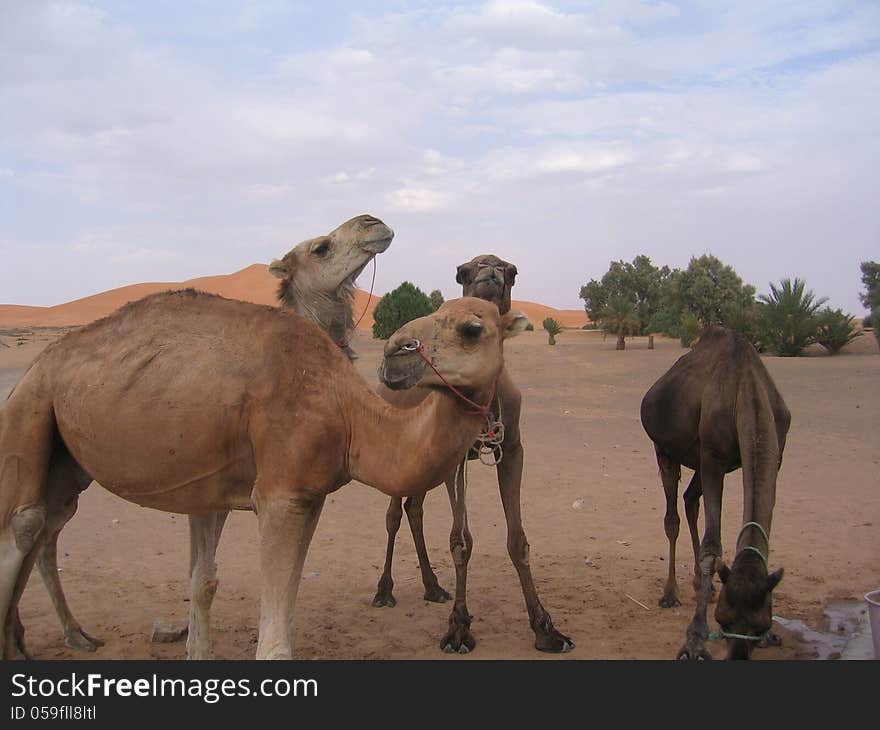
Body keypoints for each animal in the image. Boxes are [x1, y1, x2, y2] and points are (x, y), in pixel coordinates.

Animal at [0, 292, 528, 660]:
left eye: (471, 328)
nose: (396, 352)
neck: (349, 413)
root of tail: (39, 361)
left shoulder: (305, 494)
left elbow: (205, 582)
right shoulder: (281, 494)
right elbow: (273, 644)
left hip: (66, 461)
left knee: (48, 524)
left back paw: (58, 639)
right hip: (31, 404)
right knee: (25, 524)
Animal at [370, 253, 572, 652]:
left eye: (510, 270)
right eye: (463, 272)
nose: (396, 350)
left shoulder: (512, 449)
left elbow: (518, 540)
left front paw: (546, 628)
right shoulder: (456, 461)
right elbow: (460, 541)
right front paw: (459, 629)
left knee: (414, 509)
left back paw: (432, 586)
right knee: (394, 515)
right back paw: (384, 591)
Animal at [640, 324, 792, 660]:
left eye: (761, 624)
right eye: (723, 620)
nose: (737, 655)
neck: (746, 391)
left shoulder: (776, 455)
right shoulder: (713, 455)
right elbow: (713, 545)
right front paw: (695, 639)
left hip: (698, 460)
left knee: (690, 500)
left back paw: (701, 585)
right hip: (665, 449)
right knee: (672, 517)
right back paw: (671, 593)